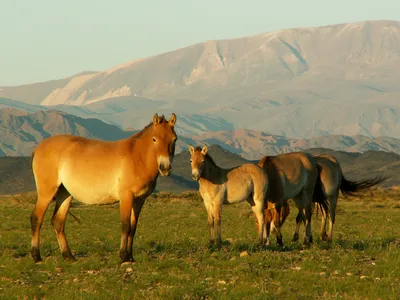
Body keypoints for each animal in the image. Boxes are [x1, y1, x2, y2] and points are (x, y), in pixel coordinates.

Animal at [29, 113, 177, 264]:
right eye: (154, 139)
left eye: (174, 139)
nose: (165, 168)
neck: (137, 157)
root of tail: (38, 149)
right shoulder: (126, 197)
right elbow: (125, 226)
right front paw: (124, 257)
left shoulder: (139, 200)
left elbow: (133, 228)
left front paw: (131, 257)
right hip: (46, 193)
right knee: (36, 218)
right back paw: (36, 256)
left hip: (64, 194)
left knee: (58, 222)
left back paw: (68, 256)